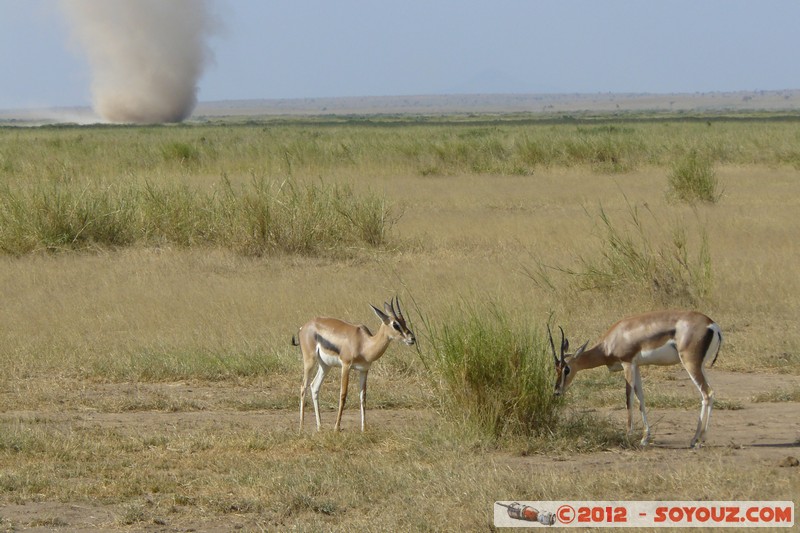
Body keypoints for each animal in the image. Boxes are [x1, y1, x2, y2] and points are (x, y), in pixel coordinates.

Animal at [293, 297, 416, 432]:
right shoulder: (346, 366)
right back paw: (301, 427)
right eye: (395, 324)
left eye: (404, 321)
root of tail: (303, 327)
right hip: (309, 361)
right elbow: (343, 395)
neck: (363, 344)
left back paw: (320, 427)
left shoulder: (364, 370)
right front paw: (336, 428)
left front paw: (364, 428)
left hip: (325, 365)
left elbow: (363, 396)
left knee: (314, 386)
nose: (412, 338)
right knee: (303, 387)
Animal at [550, 310, 723, 448]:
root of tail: (712, 325)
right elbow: (641, 398)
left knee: (707, 393)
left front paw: (628, 435)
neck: (612, 340)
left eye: (566, 369)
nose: (557, 391)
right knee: (708, 394)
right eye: (555, 368)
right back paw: (696, 439)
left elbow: (629, 398)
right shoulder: (636, 366)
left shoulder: (627, 364)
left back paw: (699, 440)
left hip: (690, 363)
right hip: (700, 366)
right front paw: (644, 439)